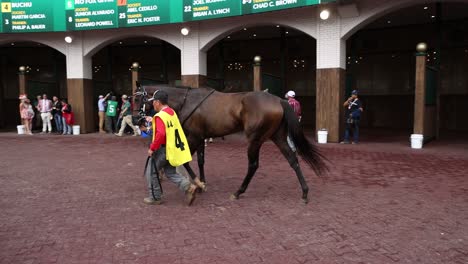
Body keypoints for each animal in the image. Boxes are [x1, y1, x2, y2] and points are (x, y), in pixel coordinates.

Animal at [136, 84, 326, 204]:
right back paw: (304, 192)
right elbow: (200, 161)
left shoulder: (194, 137)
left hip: (255, 139)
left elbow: (188, 161)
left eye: (137, 98)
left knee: (253, 165)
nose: (138, 120)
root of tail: (279, 100)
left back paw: (238, 192)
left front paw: (198, 184)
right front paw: (202, 183)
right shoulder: (201, 137)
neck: (188, 100)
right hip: (278, 137)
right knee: (293, 160)